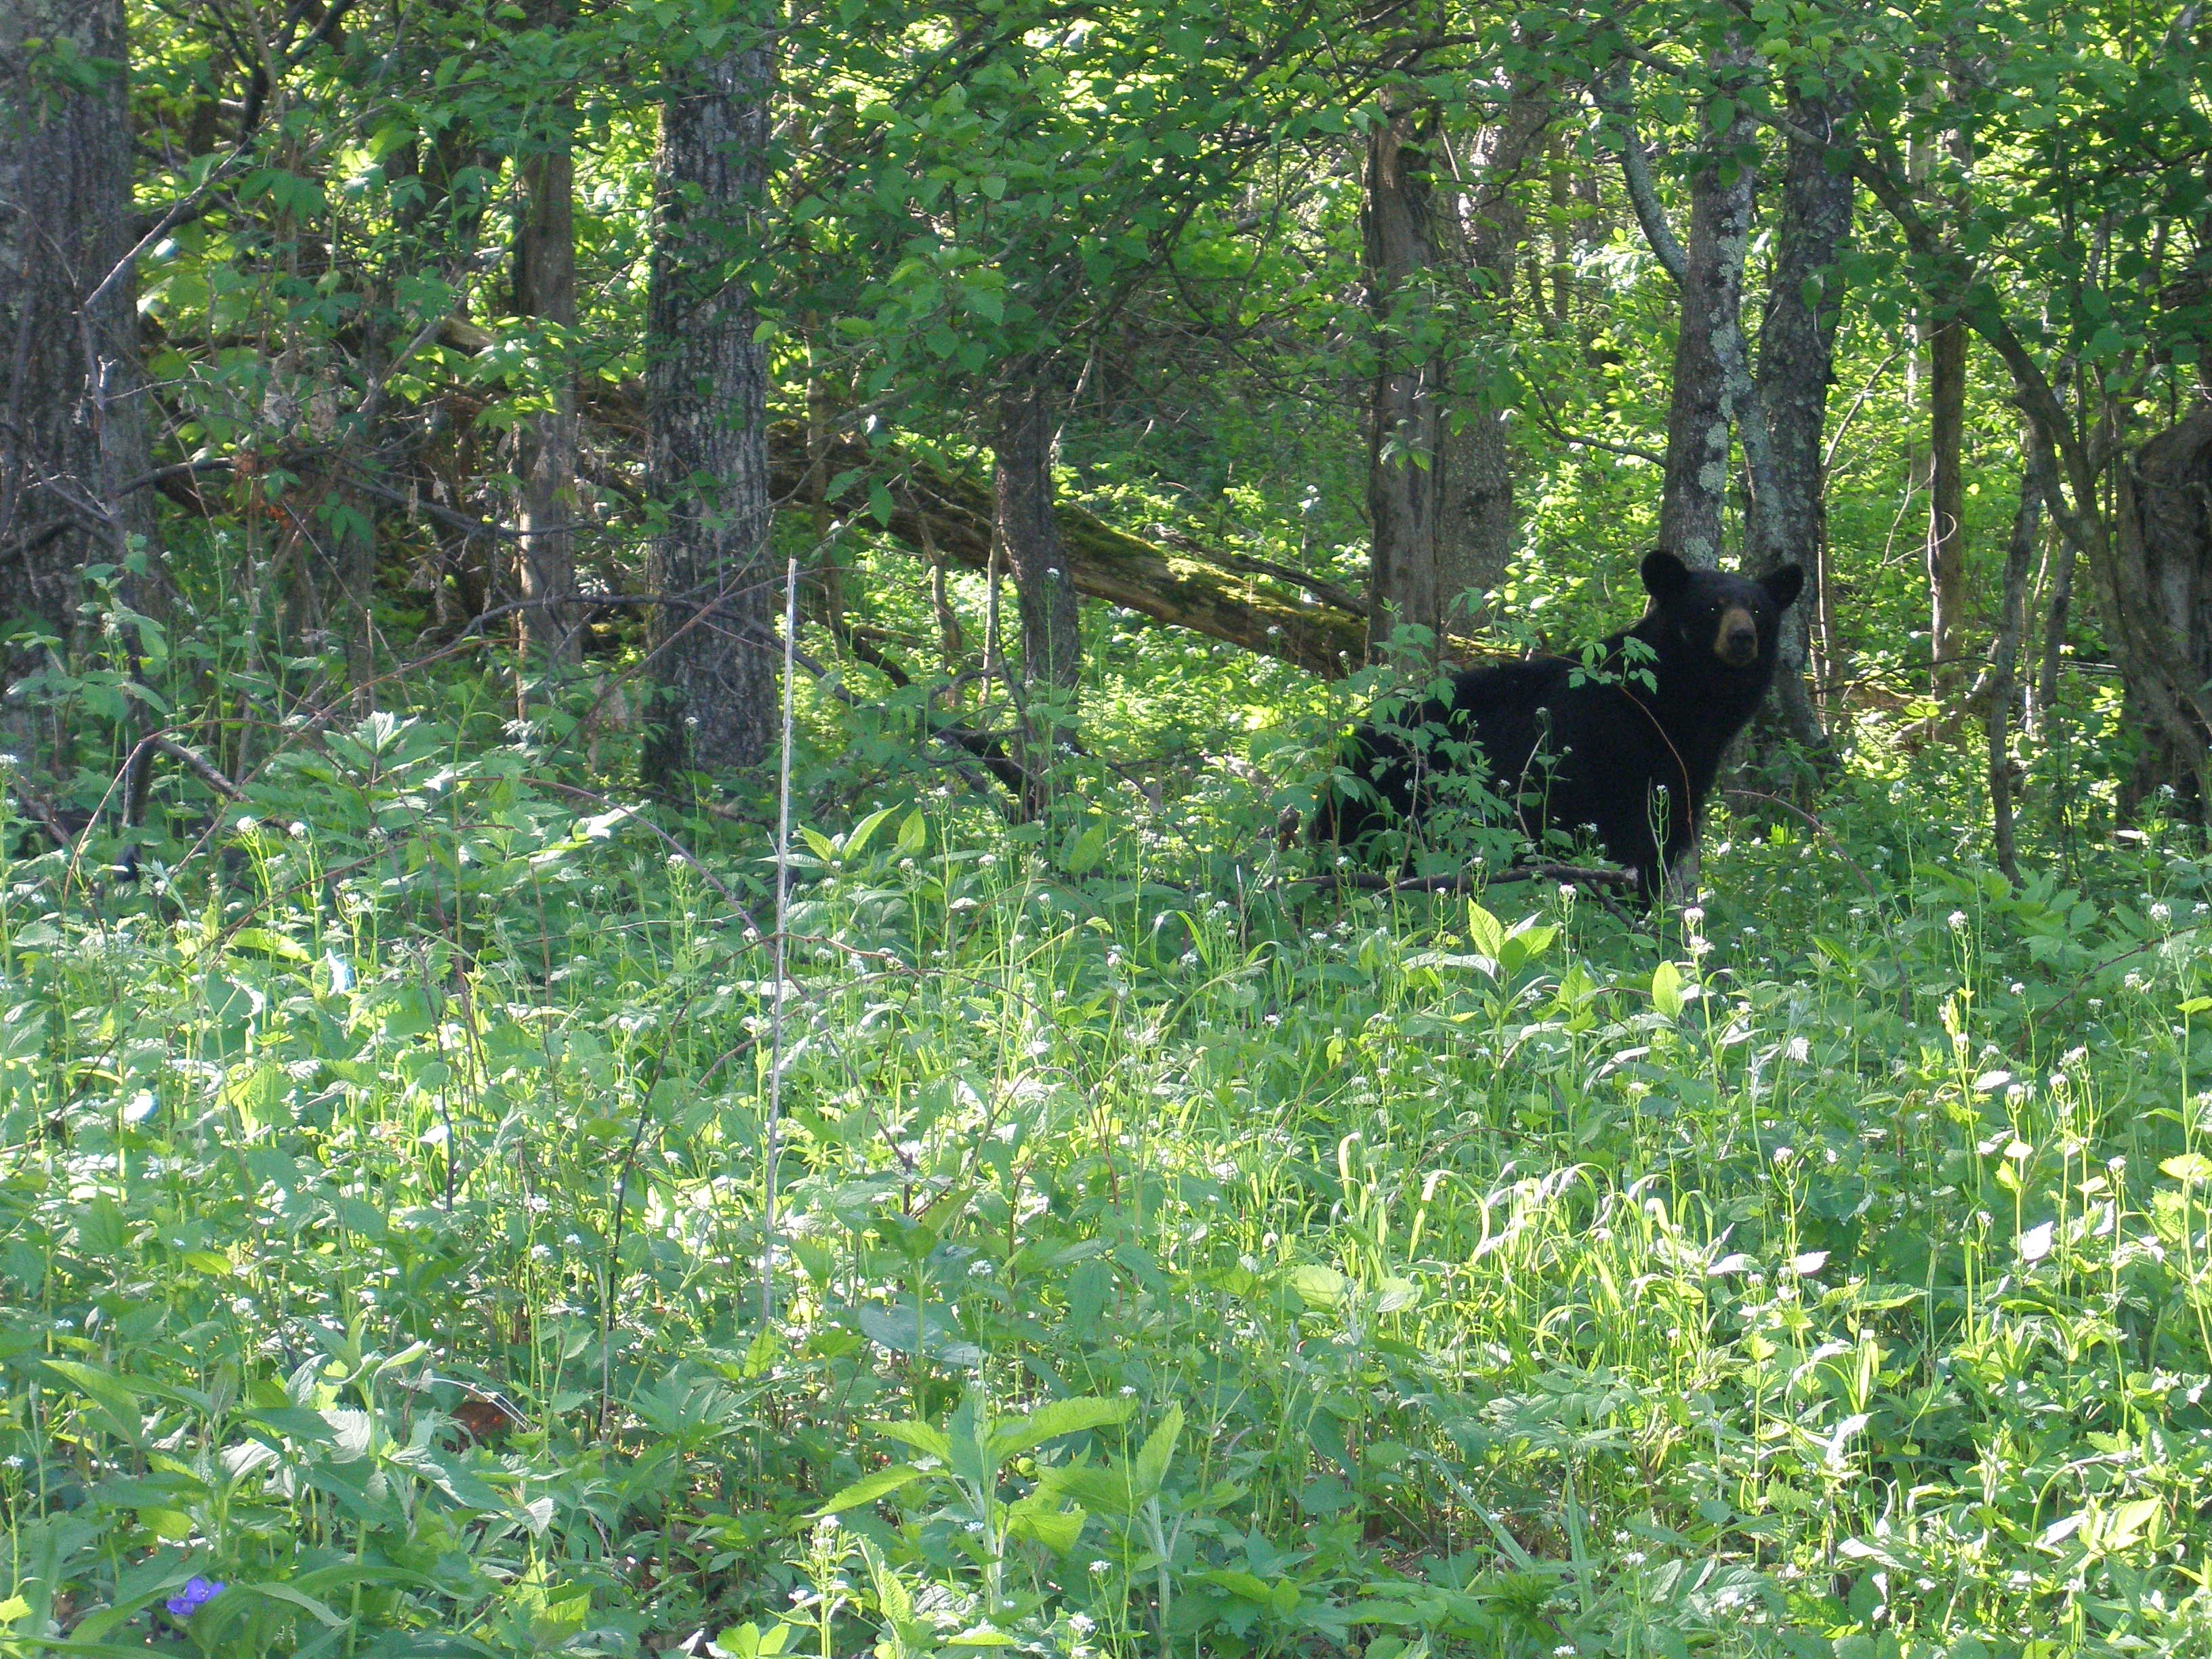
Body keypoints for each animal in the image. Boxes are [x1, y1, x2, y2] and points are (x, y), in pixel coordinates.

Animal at [1309, 553, 1796, 898]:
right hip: (1382, 800)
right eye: (1712, 606)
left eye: (1758, 609)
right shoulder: (1611, 753)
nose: (1742, 637)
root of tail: (1354, 742)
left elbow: (1662, 840)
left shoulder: (1683, 771)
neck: (1674, 706)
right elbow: (1628, 844)